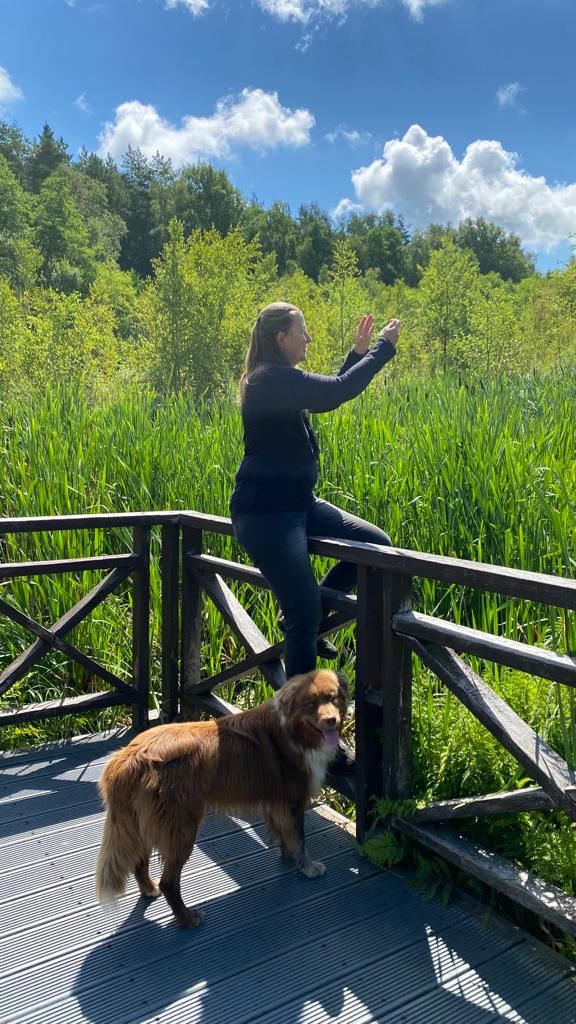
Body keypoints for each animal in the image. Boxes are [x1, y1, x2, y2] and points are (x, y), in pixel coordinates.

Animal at [95, 669, 348, 927]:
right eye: (311, 704)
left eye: (333, 698)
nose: (332, 720)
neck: (293, 732)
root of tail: (129, 757)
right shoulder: (292, 801)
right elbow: (299, 838)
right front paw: (307, 867)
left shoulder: (276, 803)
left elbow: (285, 836)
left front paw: (288, 859)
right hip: (180, 829)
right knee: (169, 881)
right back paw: (188, 919)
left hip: (143, 822)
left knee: (139, 861)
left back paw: (149, 889)